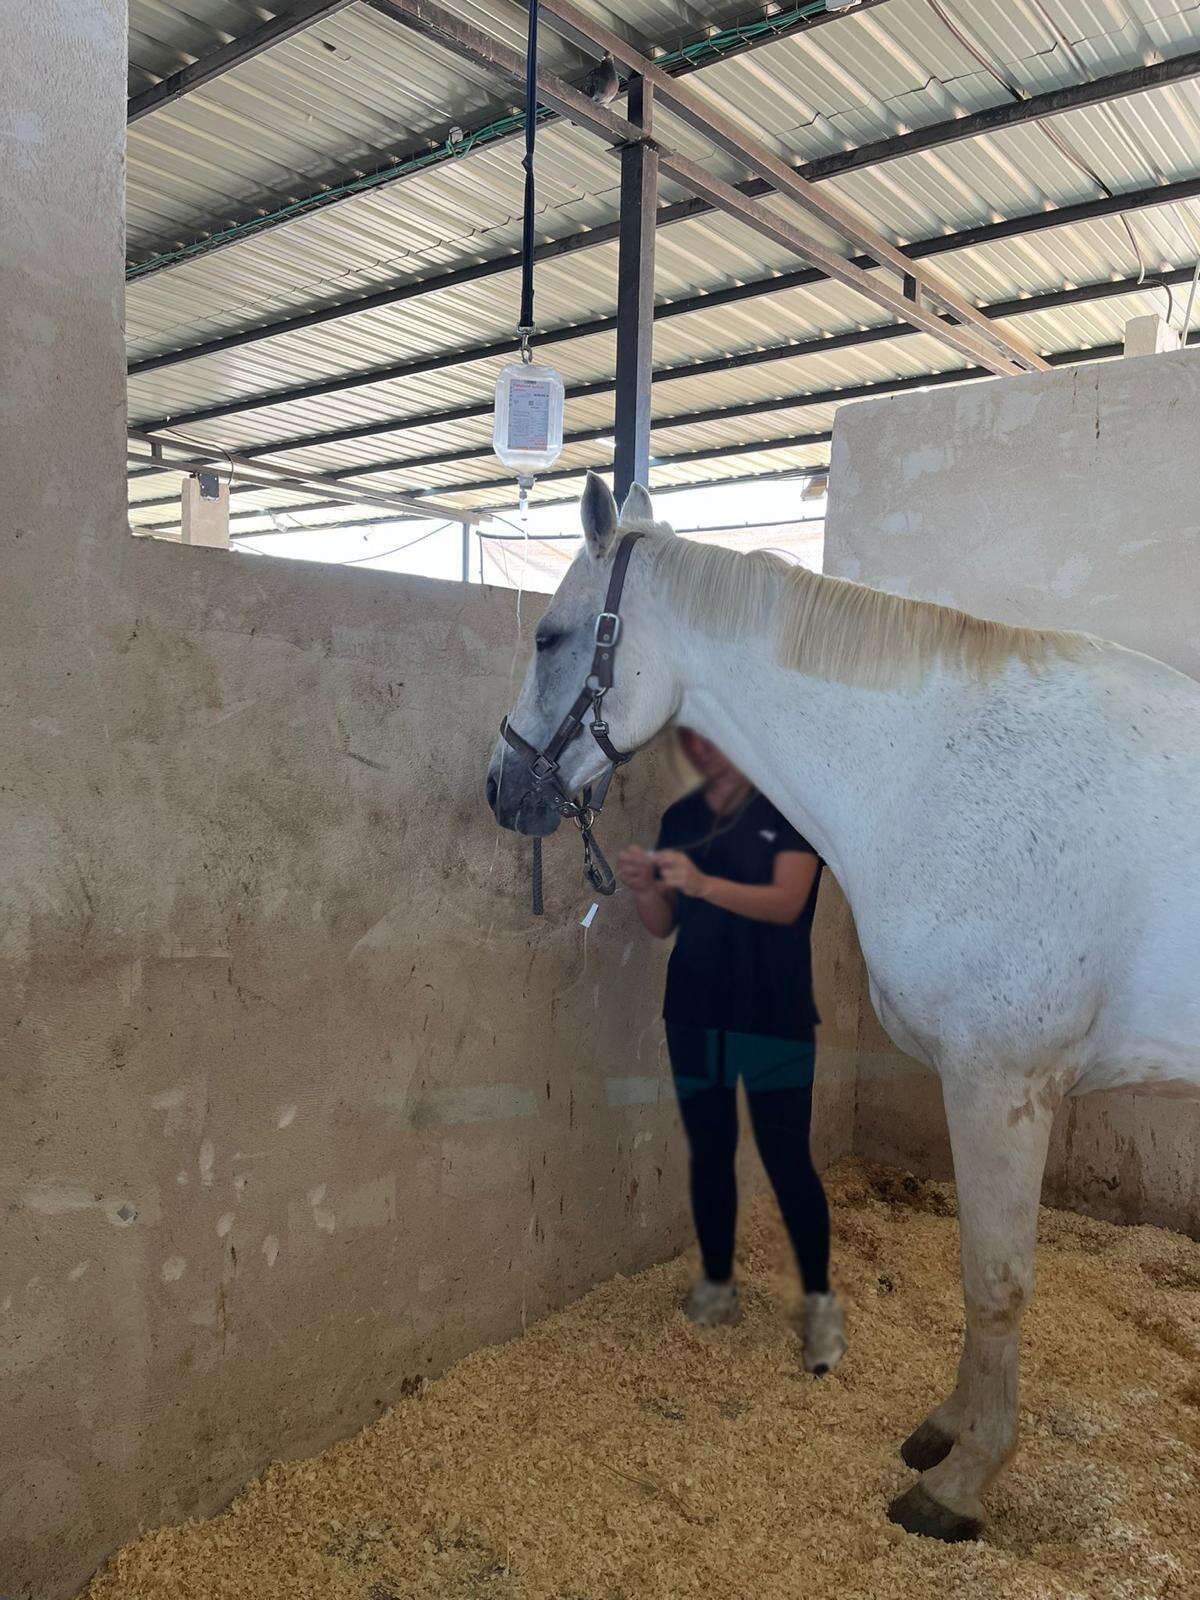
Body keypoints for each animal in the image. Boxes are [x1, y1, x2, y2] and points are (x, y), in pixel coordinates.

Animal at [486, 470, 1200, 1542]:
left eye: (550, 636)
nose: (501, 788)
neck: (940, 770)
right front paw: (946, 1429)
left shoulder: (1003, 1087)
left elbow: (995, 1281)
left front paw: (961, 1482)